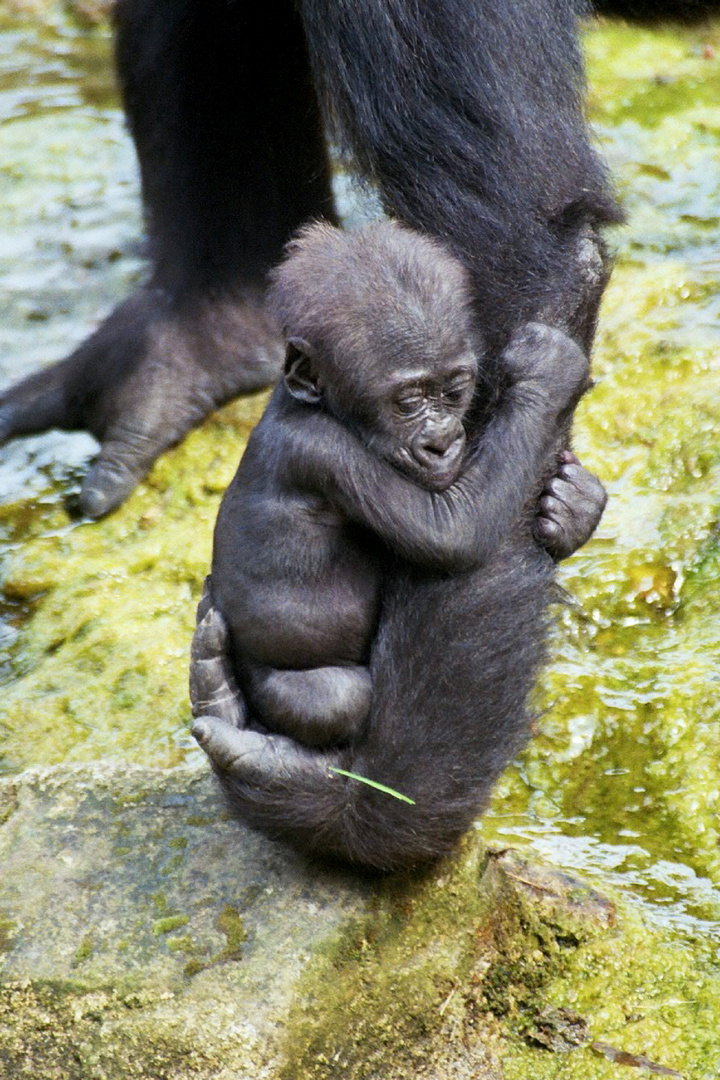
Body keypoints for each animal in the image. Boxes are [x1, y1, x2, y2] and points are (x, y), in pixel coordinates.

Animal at [208, 223, 591, 747]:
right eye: (408, 402)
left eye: (455, 392)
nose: (442, 442)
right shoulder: (324, 452)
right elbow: (450, 531)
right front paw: (547, 371)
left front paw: (576, 506)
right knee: (333, 697)